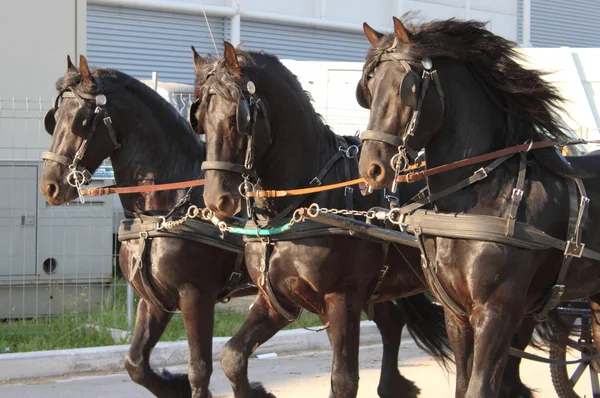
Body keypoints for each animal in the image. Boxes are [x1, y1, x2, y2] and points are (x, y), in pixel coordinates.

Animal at [38, 55, 255, 398]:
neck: (162, 210)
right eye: (54, 118)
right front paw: (173, 385)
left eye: (82, 121)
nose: (50, 186)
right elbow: (135, 364)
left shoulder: (196, 296)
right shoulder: (153, 299)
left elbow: (199, 370)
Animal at [191, 42, 552, 398]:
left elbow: (343, 380)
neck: (305, 201)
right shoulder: (276, 300)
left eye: (238, 118)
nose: (217, 199)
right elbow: (231, 356)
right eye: (200, 119)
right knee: (393, 324)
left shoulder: (343, 298)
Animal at [358, 17, 600, 396]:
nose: (371, 167)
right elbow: (463, 384)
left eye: (405, 86)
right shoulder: (457, 314)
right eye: (369, 86)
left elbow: (479, 387)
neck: (485, 196)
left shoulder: (496, 313)